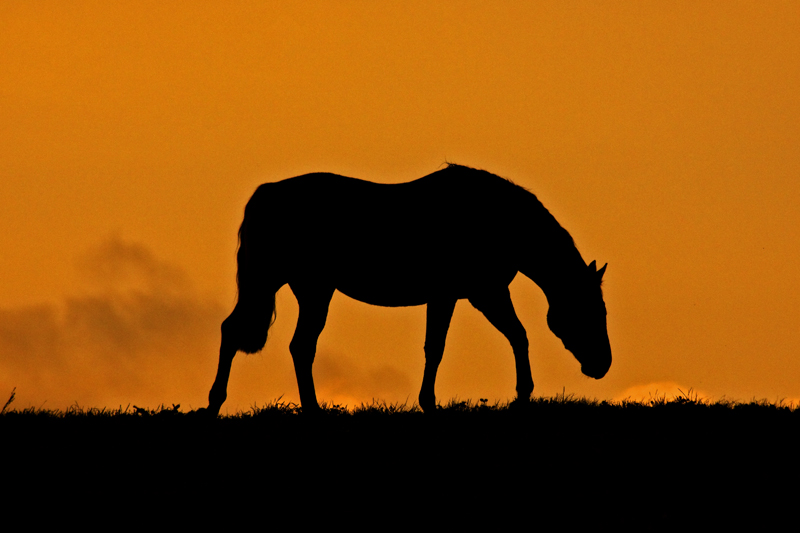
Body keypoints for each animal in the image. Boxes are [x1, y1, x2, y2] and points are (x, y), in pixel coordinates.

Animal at [202, 163, 612, 416]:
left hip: (307, 288)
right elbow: (461, 344)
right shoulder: (476, 293)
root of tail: (265, 194)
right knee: (255, 335)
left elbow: (493, 338)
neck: (498, 220)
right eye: (591, 310)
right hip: (286, 283)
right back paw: (226, 404)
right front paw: (436, 402)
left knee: (287, 343)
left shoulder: (470, 294)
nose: (602, 365)